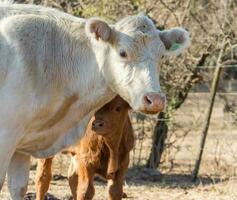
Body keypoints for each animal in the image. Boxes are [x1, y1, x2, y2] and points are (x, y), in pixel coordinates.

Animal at [0, 1, 189, 198]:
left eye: (162, 55)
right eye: (123, 53)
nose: (155, 99)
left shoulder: (22, 143)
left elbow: (18, 186)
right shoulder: (6, 136)